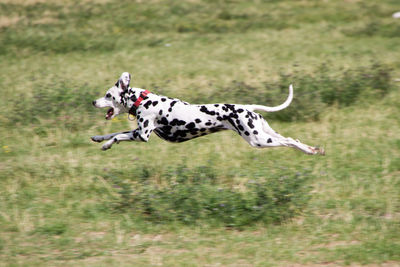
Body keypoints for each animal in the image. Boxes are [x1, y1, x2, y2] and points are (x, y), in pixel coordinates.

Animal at [91, 72, 324, 156]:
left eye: (108, 95)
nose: (93, 101)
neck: (144, 100)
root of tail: (247, 107)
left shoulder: (141, 135)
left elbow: (118, 136)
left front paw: (106, 144)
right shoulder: (137, 131)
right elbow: (114, 133)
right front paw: (99, 138)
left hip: (259, 140)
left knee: (288, 142)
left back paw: (311, 151)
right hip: (264, 134)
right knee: (292, 139)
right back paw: (312, 150)